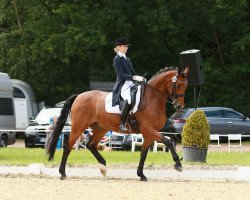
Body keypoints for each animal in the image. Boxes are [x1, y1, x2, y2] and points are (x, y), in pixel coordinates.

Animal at [47, 67, 188, 181]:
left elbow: (143, 153)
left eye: (186, 86)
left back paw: (103, 167)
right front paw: (178, 164)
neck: (152, 99)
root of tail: (79, 96)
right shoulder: (148, 129)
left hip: (101, 128)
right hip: (78, 127)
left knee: (91, 145)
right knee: (68, 146)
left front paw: (141, 174)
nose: (179, 106)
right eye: (178, 86)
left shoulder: (148, 134)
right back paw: (62, 173)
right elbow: (168, 141)